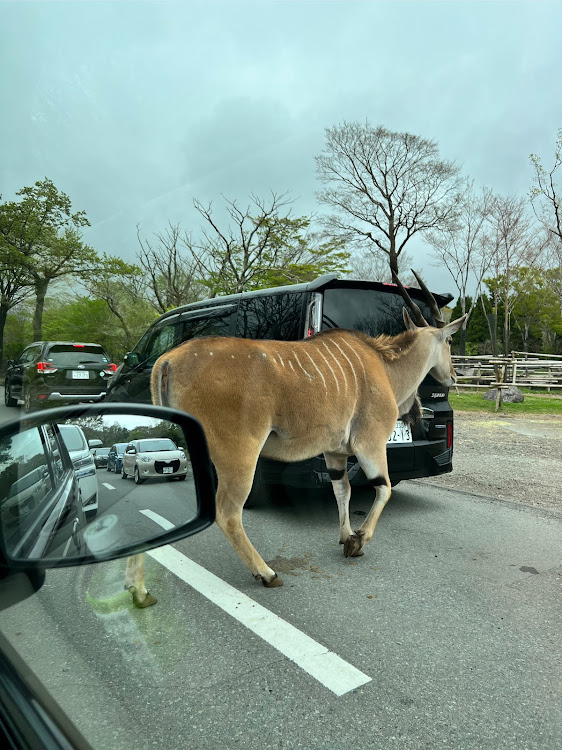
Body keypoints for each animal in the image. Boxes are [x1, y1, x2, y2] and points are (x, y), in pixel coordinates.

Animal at [124, 270, 466, 604]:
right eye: (449, 340)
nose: (454, 376)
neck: (383, 365)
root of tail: (167, 361)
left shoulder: (334, 453)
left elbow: (342, 490)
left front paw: (345, 537)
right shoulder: (370, 442)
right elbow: (384, 489)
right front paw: (358, 540)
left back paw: (136, 586)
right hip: (239, 454)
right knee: (228, 513)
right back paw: (266, 573)